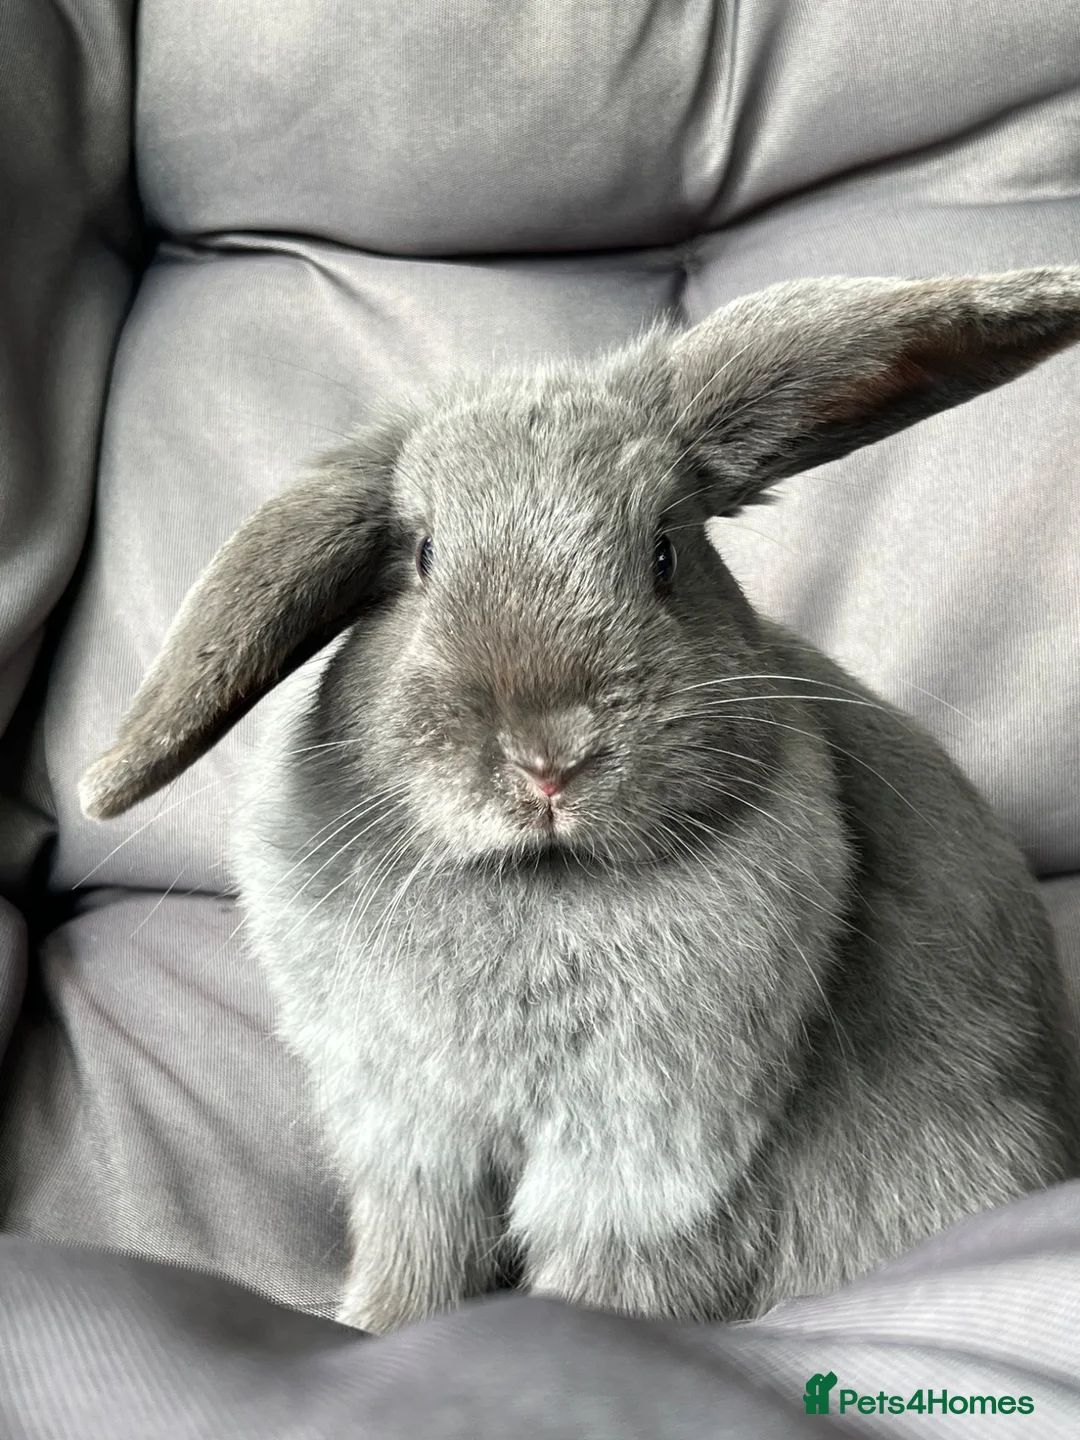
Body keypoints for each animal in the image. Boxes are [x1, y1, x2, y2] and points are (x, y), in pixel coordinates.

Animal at [80, 268, 1080, 1334]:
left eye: (665, 554)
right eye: (423, 557)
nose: (549, 758)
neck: (542, 882)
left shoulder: (652, 1163)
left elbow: (606, 1278)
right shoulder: (414, 1141)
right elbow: (418, 1249)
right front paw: (377, 1324)